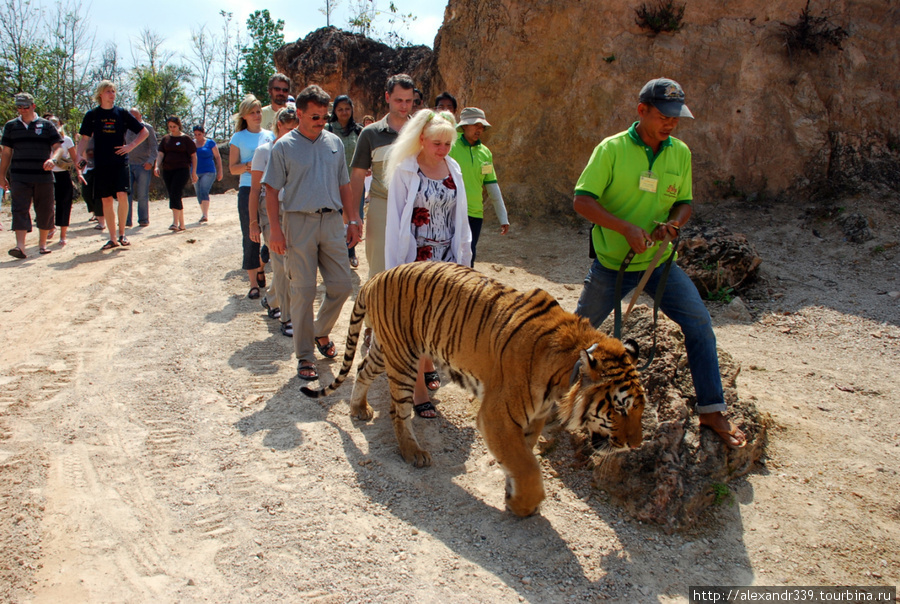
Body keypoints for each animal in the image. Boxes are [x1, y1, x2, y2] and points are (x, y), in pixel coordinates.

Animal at [302, 262, 648, 516]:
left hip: (388, 349)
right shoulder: (497, 416)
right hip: (403, 359)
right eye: (620, 408)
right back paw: (413, 453)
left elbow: (525, 457)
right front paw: (523, 505)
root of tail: (375, 277)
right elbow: (527, 467)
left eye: (641, 409)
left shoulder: (535, 418)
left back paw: (359, 409)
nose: (635, 445)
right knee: (398, 411)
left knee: (362, 369)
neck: (564, 377)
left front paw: (512, 493)